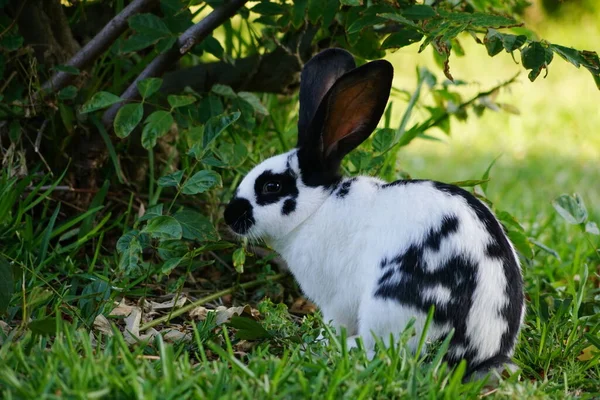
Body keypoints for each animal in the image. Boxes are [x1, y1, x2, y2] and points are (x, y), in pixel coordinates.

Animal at [223, 47, 524, 378]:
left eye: (271, 186)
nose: (229, 216)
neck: (318, 209)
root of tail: (479, 354)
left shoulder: (337, 300)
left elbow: (335, 323)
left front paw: (318, 342)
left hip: (389, 303)